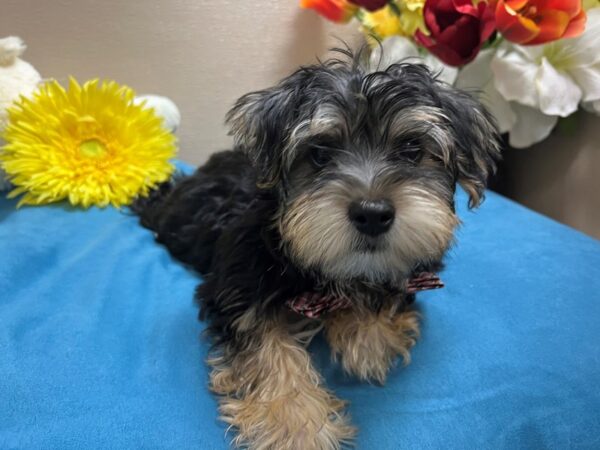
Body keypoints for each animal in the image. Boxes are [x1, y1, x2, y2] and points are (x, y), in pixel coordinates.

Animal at [135, 49, 502, 450]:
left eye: (411, 150)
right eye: (320, 153)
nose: (373, 213)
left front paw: (369, 337)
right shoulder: (235, 285)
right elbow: (267, 348)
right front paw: (296, 425)